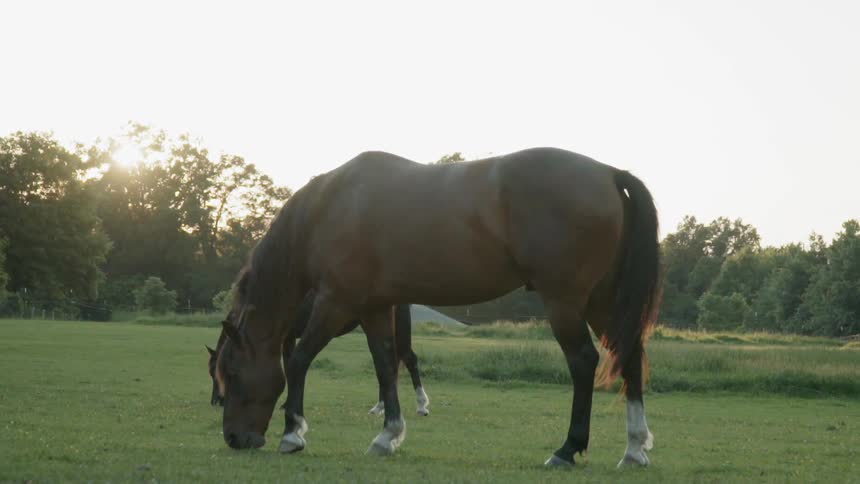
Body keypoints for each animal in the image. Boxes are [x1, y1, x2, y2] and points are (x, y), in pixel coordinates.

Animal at [207, 297, 429, 416]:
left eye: (225, 372)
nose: (217, 401)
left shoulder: (287, 337)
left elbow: (289, 365)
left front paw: (286, 404)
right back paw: (379, 407)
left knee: (409, 359)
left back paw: (421, 405)